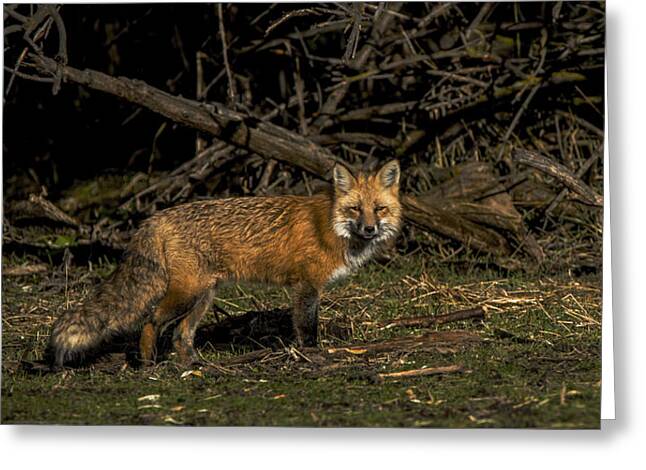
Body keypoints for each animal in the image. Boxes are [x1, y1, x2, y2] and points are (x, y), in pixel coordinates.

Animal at [48, 160, 402, 368]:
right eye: (355, 209)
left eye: (379, 209)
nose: (370, 229)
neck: (330, 225)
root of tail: (155, 217)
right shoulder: (306, 286)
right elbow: (306, 326)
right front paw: (311, 355)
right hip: (187, 294)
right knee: (151, 320)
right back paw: (149, 363)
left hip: (203, 296)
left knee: (181, 335)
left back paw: (193, 366)